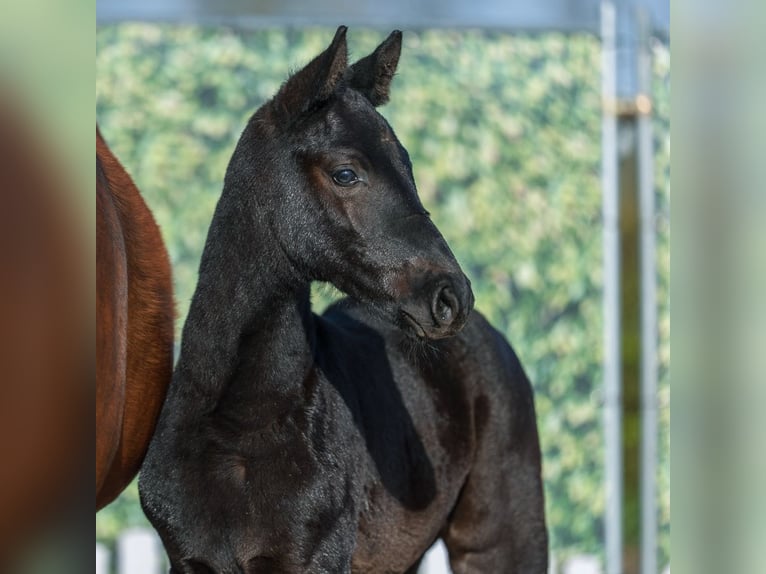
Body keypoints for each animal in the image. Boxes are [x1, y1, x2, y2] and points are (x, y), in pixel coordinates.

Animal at [139, 27, 547, 573]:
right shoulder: (188, 559)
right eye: (346, 173)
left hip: (500, 538)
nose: (450, 297)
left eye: (408, 165)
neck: (236, 430)